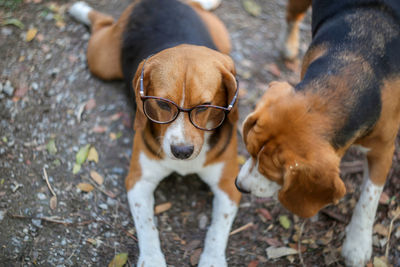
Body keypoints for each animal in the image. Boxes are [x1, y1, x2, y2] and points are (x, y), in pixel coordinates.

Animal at [69, 0, 241, 267]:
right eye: (161, 104)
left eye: (204, 107)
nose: (181, 152)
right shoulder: (139, 181)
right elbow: (147, 226)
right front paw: (151, 258)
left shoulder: (228, 187)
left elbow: (218, 229)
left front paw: (212, 260)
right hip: (101, 60)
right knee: (101, 23)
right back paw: (80, 10)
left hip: (222, 37)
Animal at [236, 1, 400, 266]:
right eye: (248, 152)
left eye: (270, 172)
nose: (239, 186)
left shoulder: (383, 149)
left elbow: (369, 197)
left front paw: (357, 243)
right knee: (292, 16)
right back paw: (288, 45)